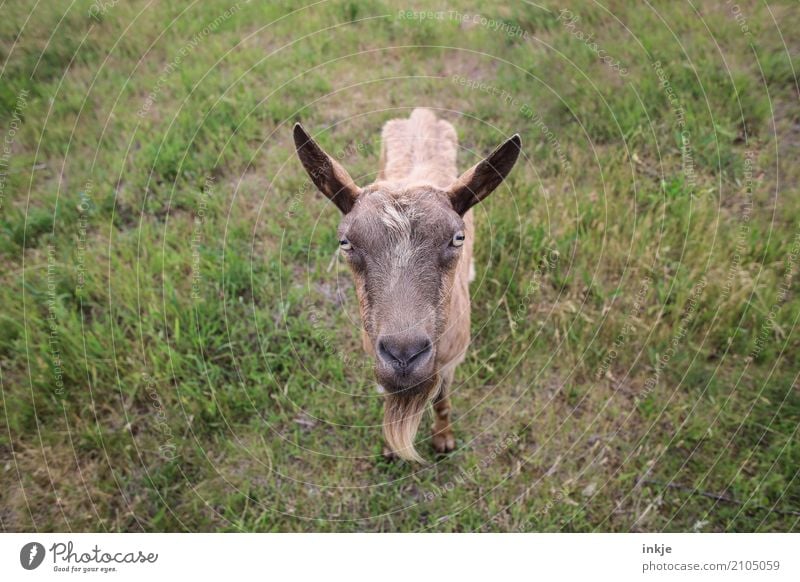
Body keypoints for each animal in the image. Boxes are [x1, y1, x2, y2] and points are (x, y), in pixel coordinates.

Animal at [292, 109, 520, 464]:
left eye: (458, 237)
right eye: (345, 242)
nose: (404, 355)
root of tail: (421, 113)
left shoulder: (451, 360)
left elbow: (442, 399)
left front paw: (443, 439)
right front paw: (390, 447)